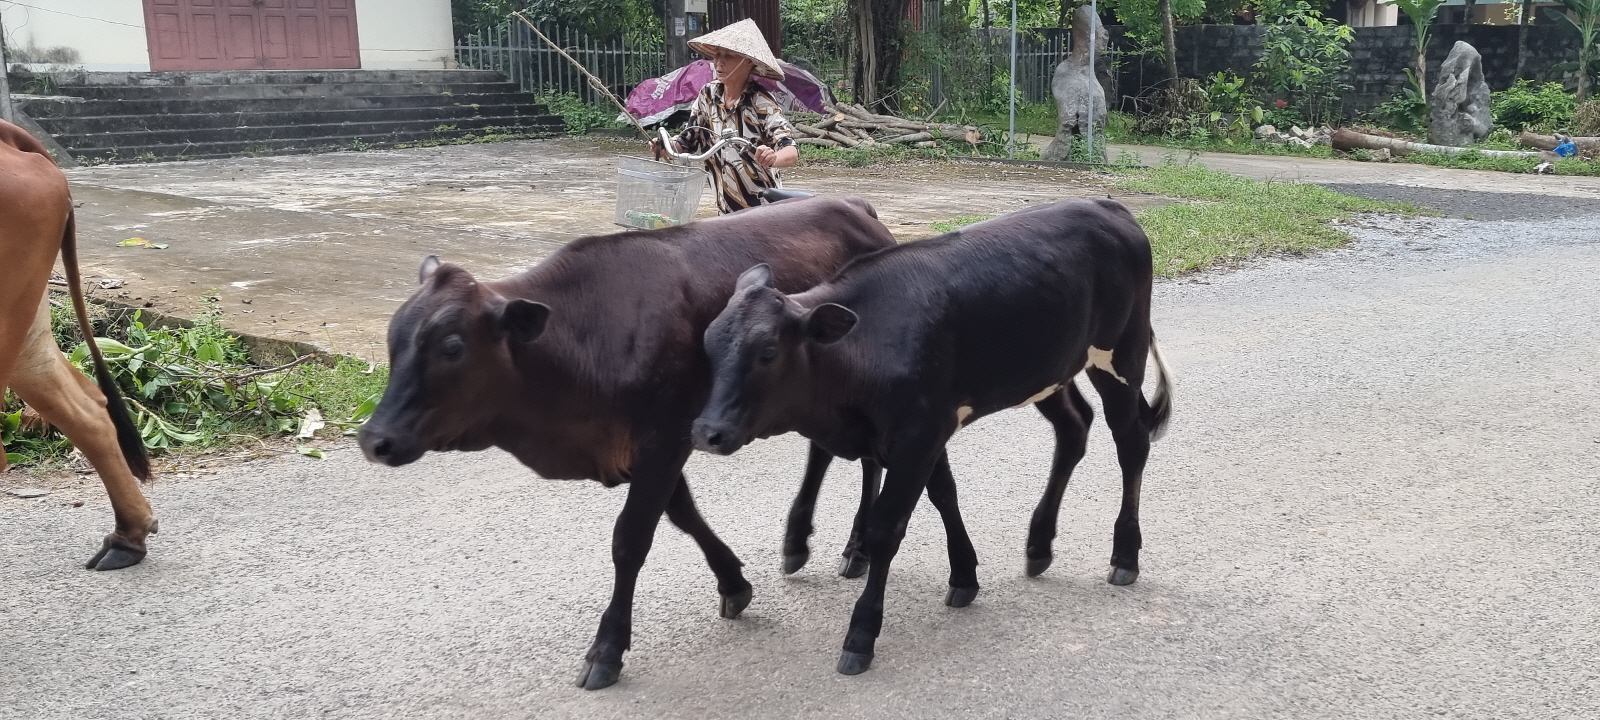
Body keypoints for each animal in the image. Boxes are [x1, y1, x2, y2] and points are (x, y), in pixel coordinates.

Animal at [691, 196, 1177, 675]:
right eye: (708, 343)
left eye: (768, 352)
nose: (706, 431)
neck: (868, 343)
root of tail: (1109, 207)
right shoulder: (921, 432)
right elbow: (944, 494)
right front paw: (964, 575)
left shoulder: (918, 434)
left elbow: (887, 527)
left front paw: (861, 634)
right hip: (1050, 371)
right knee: (1074, 428)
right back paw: (1039, 545)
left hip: (1122, 354)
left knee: (1131, 443)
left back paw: (1125, 556)